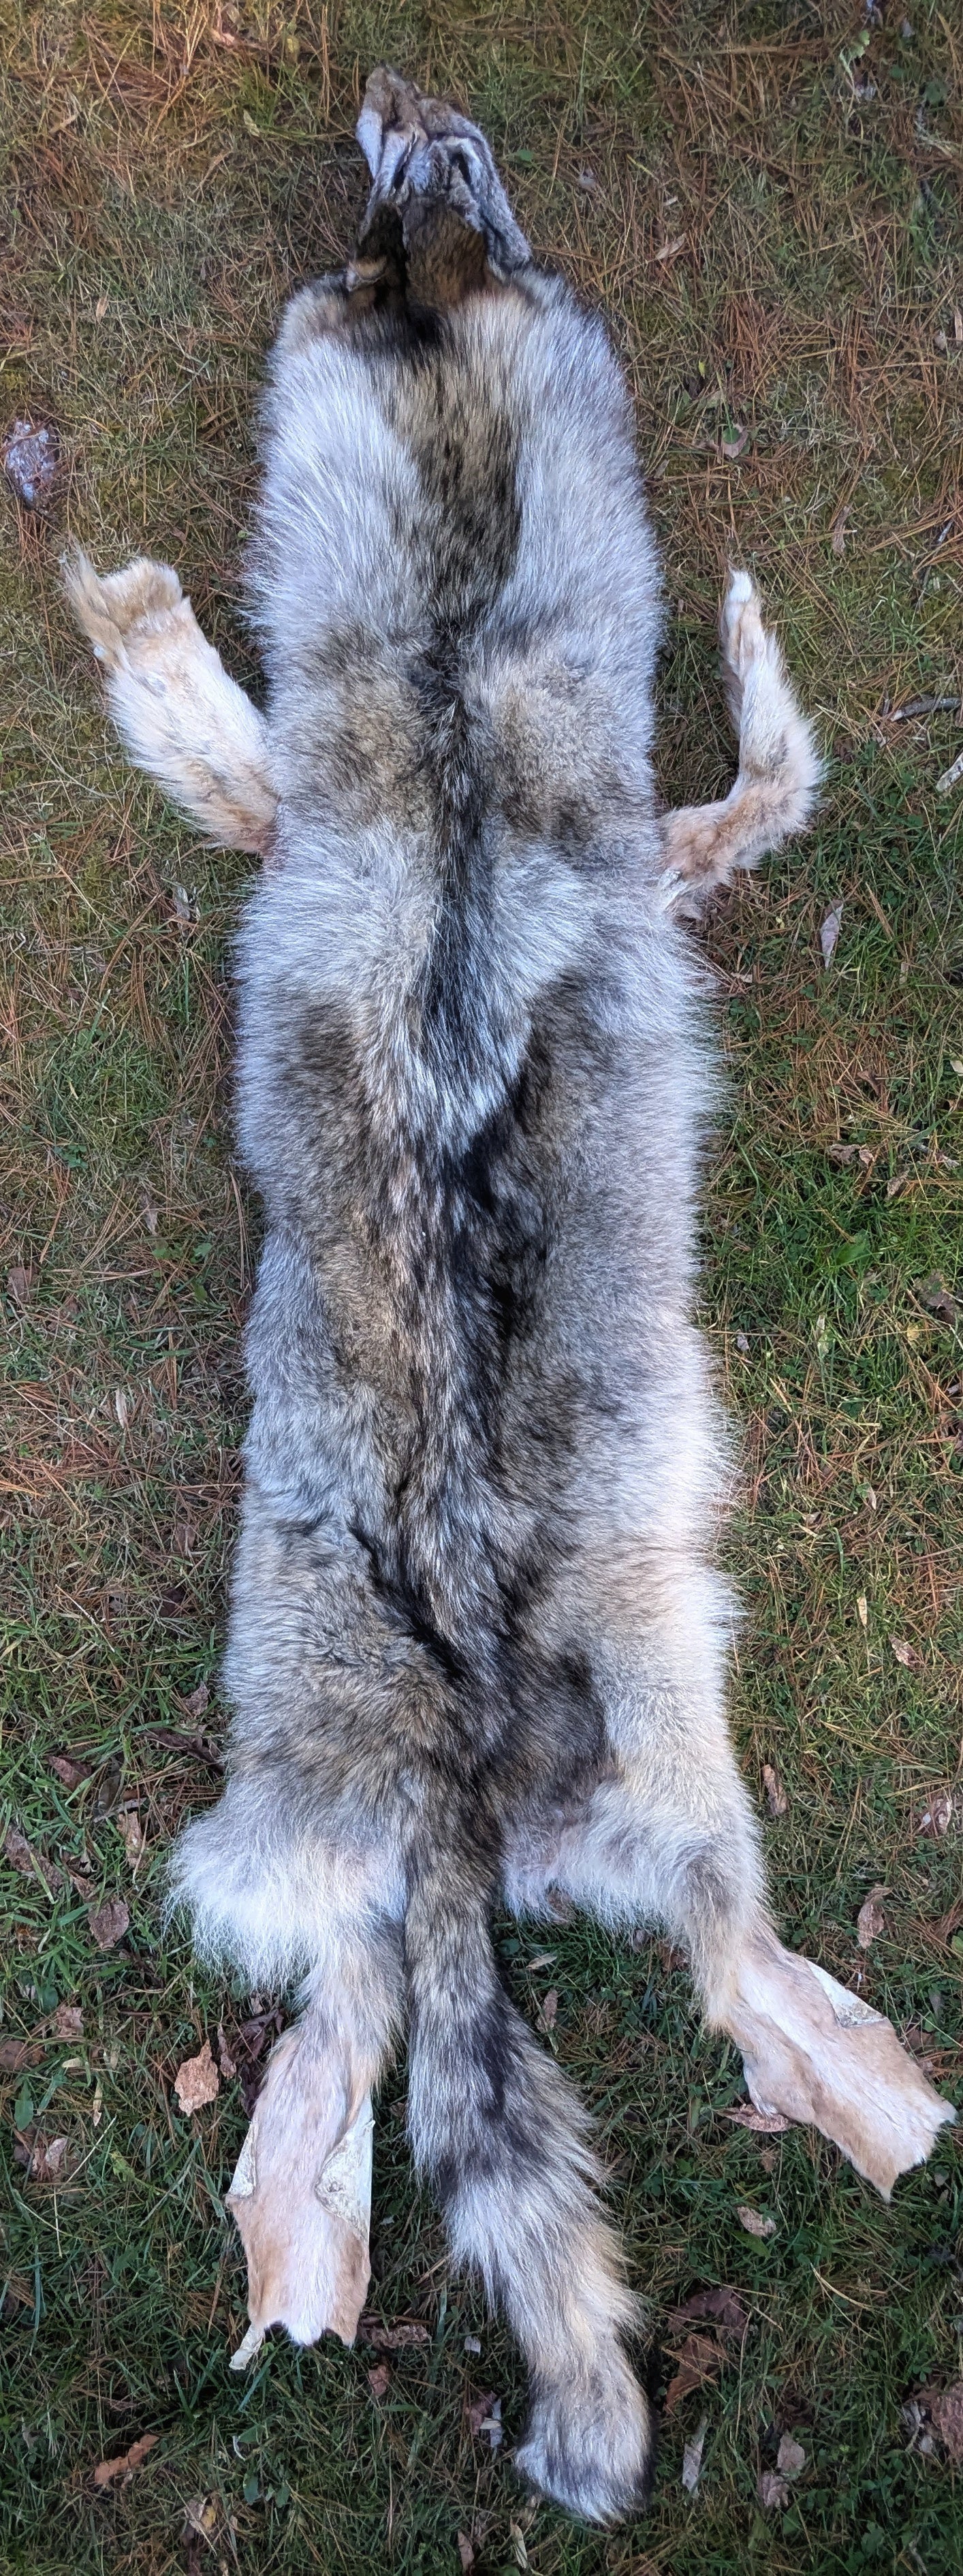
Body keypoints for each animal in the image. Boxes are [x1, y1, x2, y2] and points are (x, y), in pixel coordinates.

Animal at [66, 69, 952, 2527]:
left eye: (445, 188)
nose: (399, 95)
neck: (457, 660)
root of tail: (468, 1790)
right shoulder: (586, 827)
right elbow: (766, 775)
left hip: (443, 1821)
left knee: (375, 2042)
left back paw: (312, 2248)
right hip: (629, 1773)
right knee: (699, 1975)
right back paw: (875, 2104)